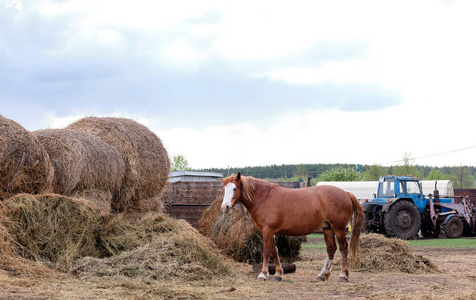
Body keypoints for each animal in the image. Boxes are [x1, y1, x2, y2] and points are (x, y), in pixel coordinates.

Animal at [220, 172, 364, 282]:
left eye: (234, 188)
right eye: (224, 189)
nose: (224, 207)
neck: (263, 198)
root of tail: (346, 193)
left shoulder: (267, 231)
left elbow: (266, 251)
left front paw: (263, 274)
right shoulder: (270, 232)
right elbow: (274, 251)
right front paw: (278, 274)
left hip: (338, 228)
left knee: (343, 248)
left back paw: (343, 275)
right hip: (327, 228)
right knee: (331, 249)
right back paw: (322, 275)